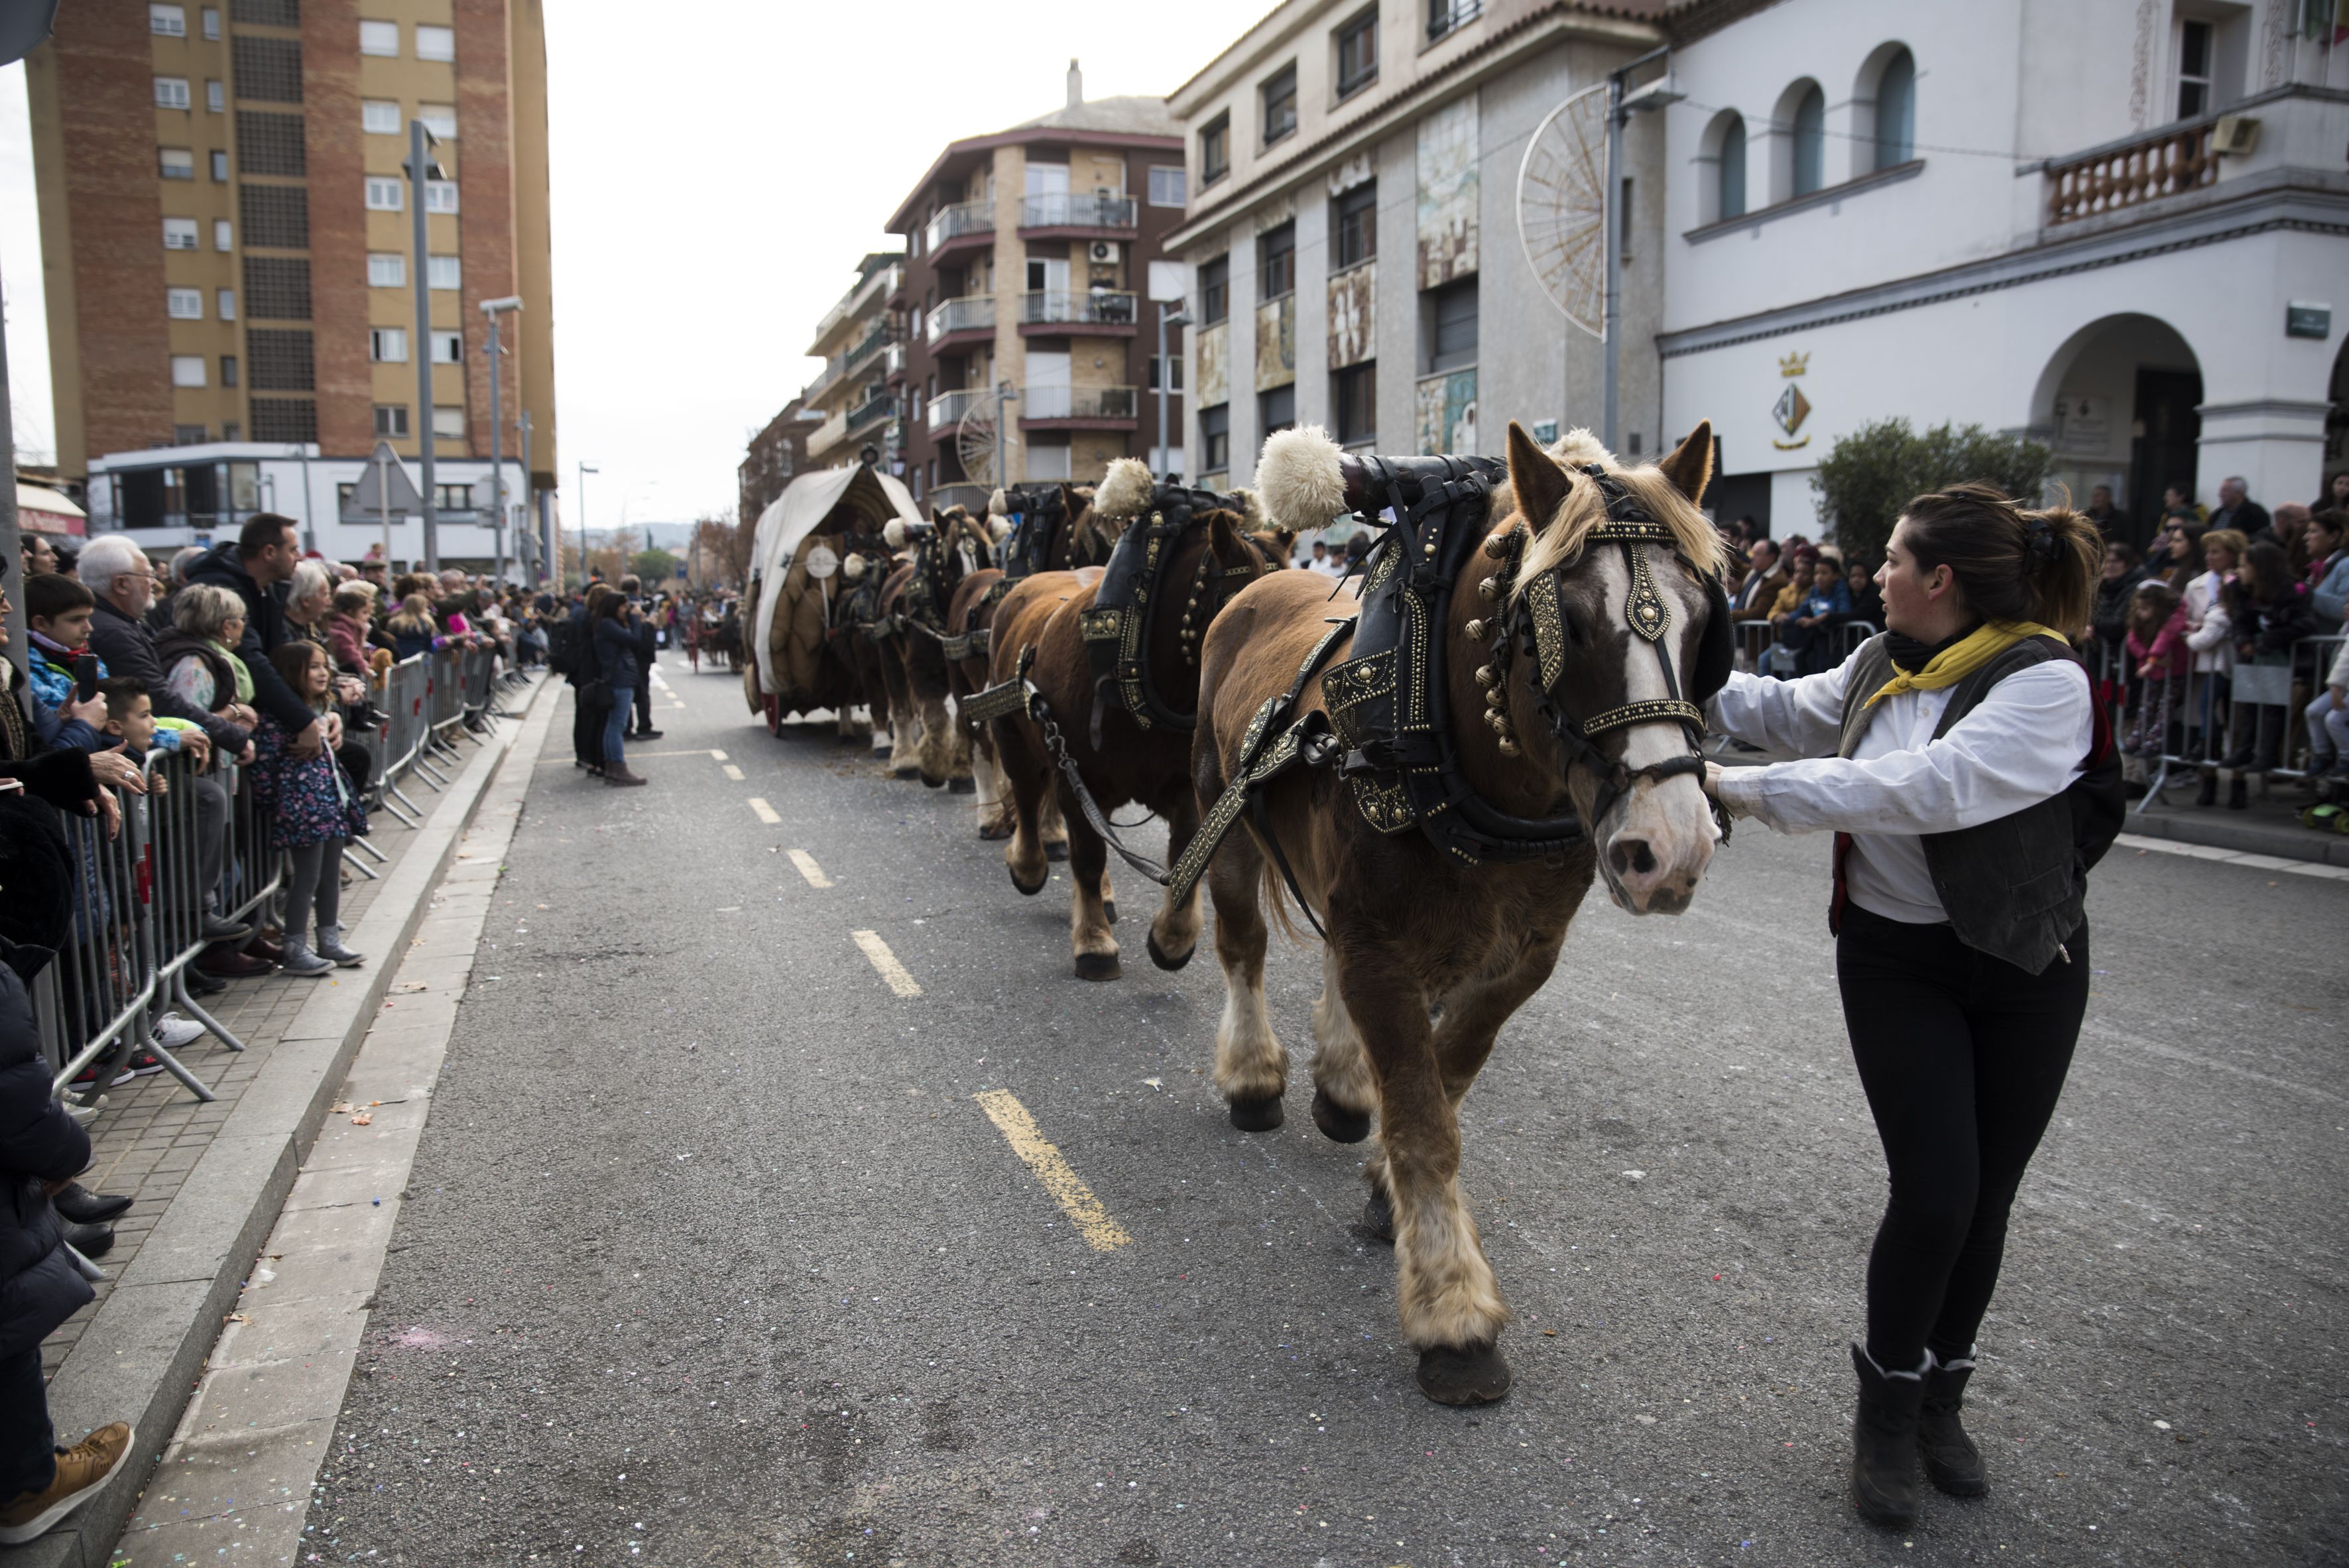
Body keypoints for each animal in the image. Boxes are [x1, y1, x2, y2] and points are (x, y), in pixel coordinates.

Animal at [981, 459, 1296, 981]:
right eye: (1244, 611)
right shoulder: (1077, 778)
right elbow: (1088, 857)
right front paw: (1094, 943)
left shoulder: (1186, 787)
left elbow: (1185, 851)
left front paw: (1172, 937)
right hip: (1012, 735)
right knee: (1026, 793)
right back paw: (1028, 863)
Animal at [1183, 415, 1738, 1408]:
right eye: (1567, 623)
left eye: (1704, 621)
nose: (1669, 847)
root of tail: (1259, 582)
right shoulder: (1379, 943)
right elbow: (1423, 1119)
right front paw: (1452, 1311)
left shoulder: (1521, 957)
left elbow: (1446, 1075)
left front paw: (1383, 1190)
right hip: (1230, 820)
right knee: (1243, 948)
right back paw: (1253, 1076)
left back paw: (1339, 1084)